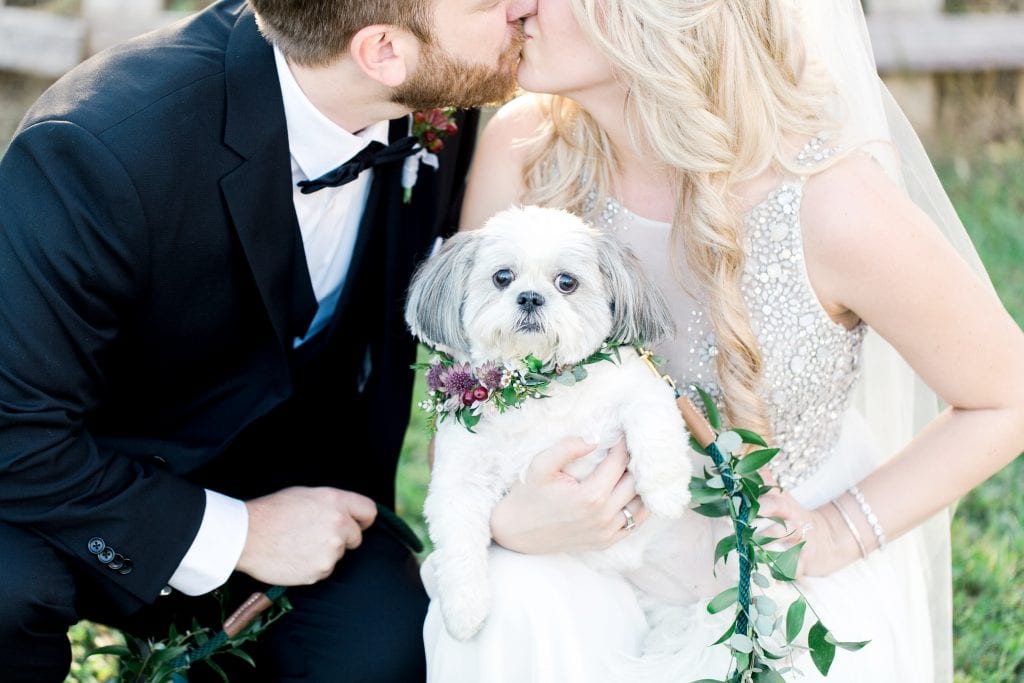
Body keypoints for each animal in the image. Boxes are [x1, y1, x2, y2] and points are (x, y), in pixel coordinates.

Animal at [404, 205, 693, 641]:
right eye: (502, 277)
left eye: (567, 282)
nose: (529, 297)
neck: (533, 383)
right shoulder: (458, 481)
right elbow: (457, 543)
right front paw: (464, 610)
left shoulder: (641, 383)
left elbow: (653, 420)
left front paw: (666, 491)